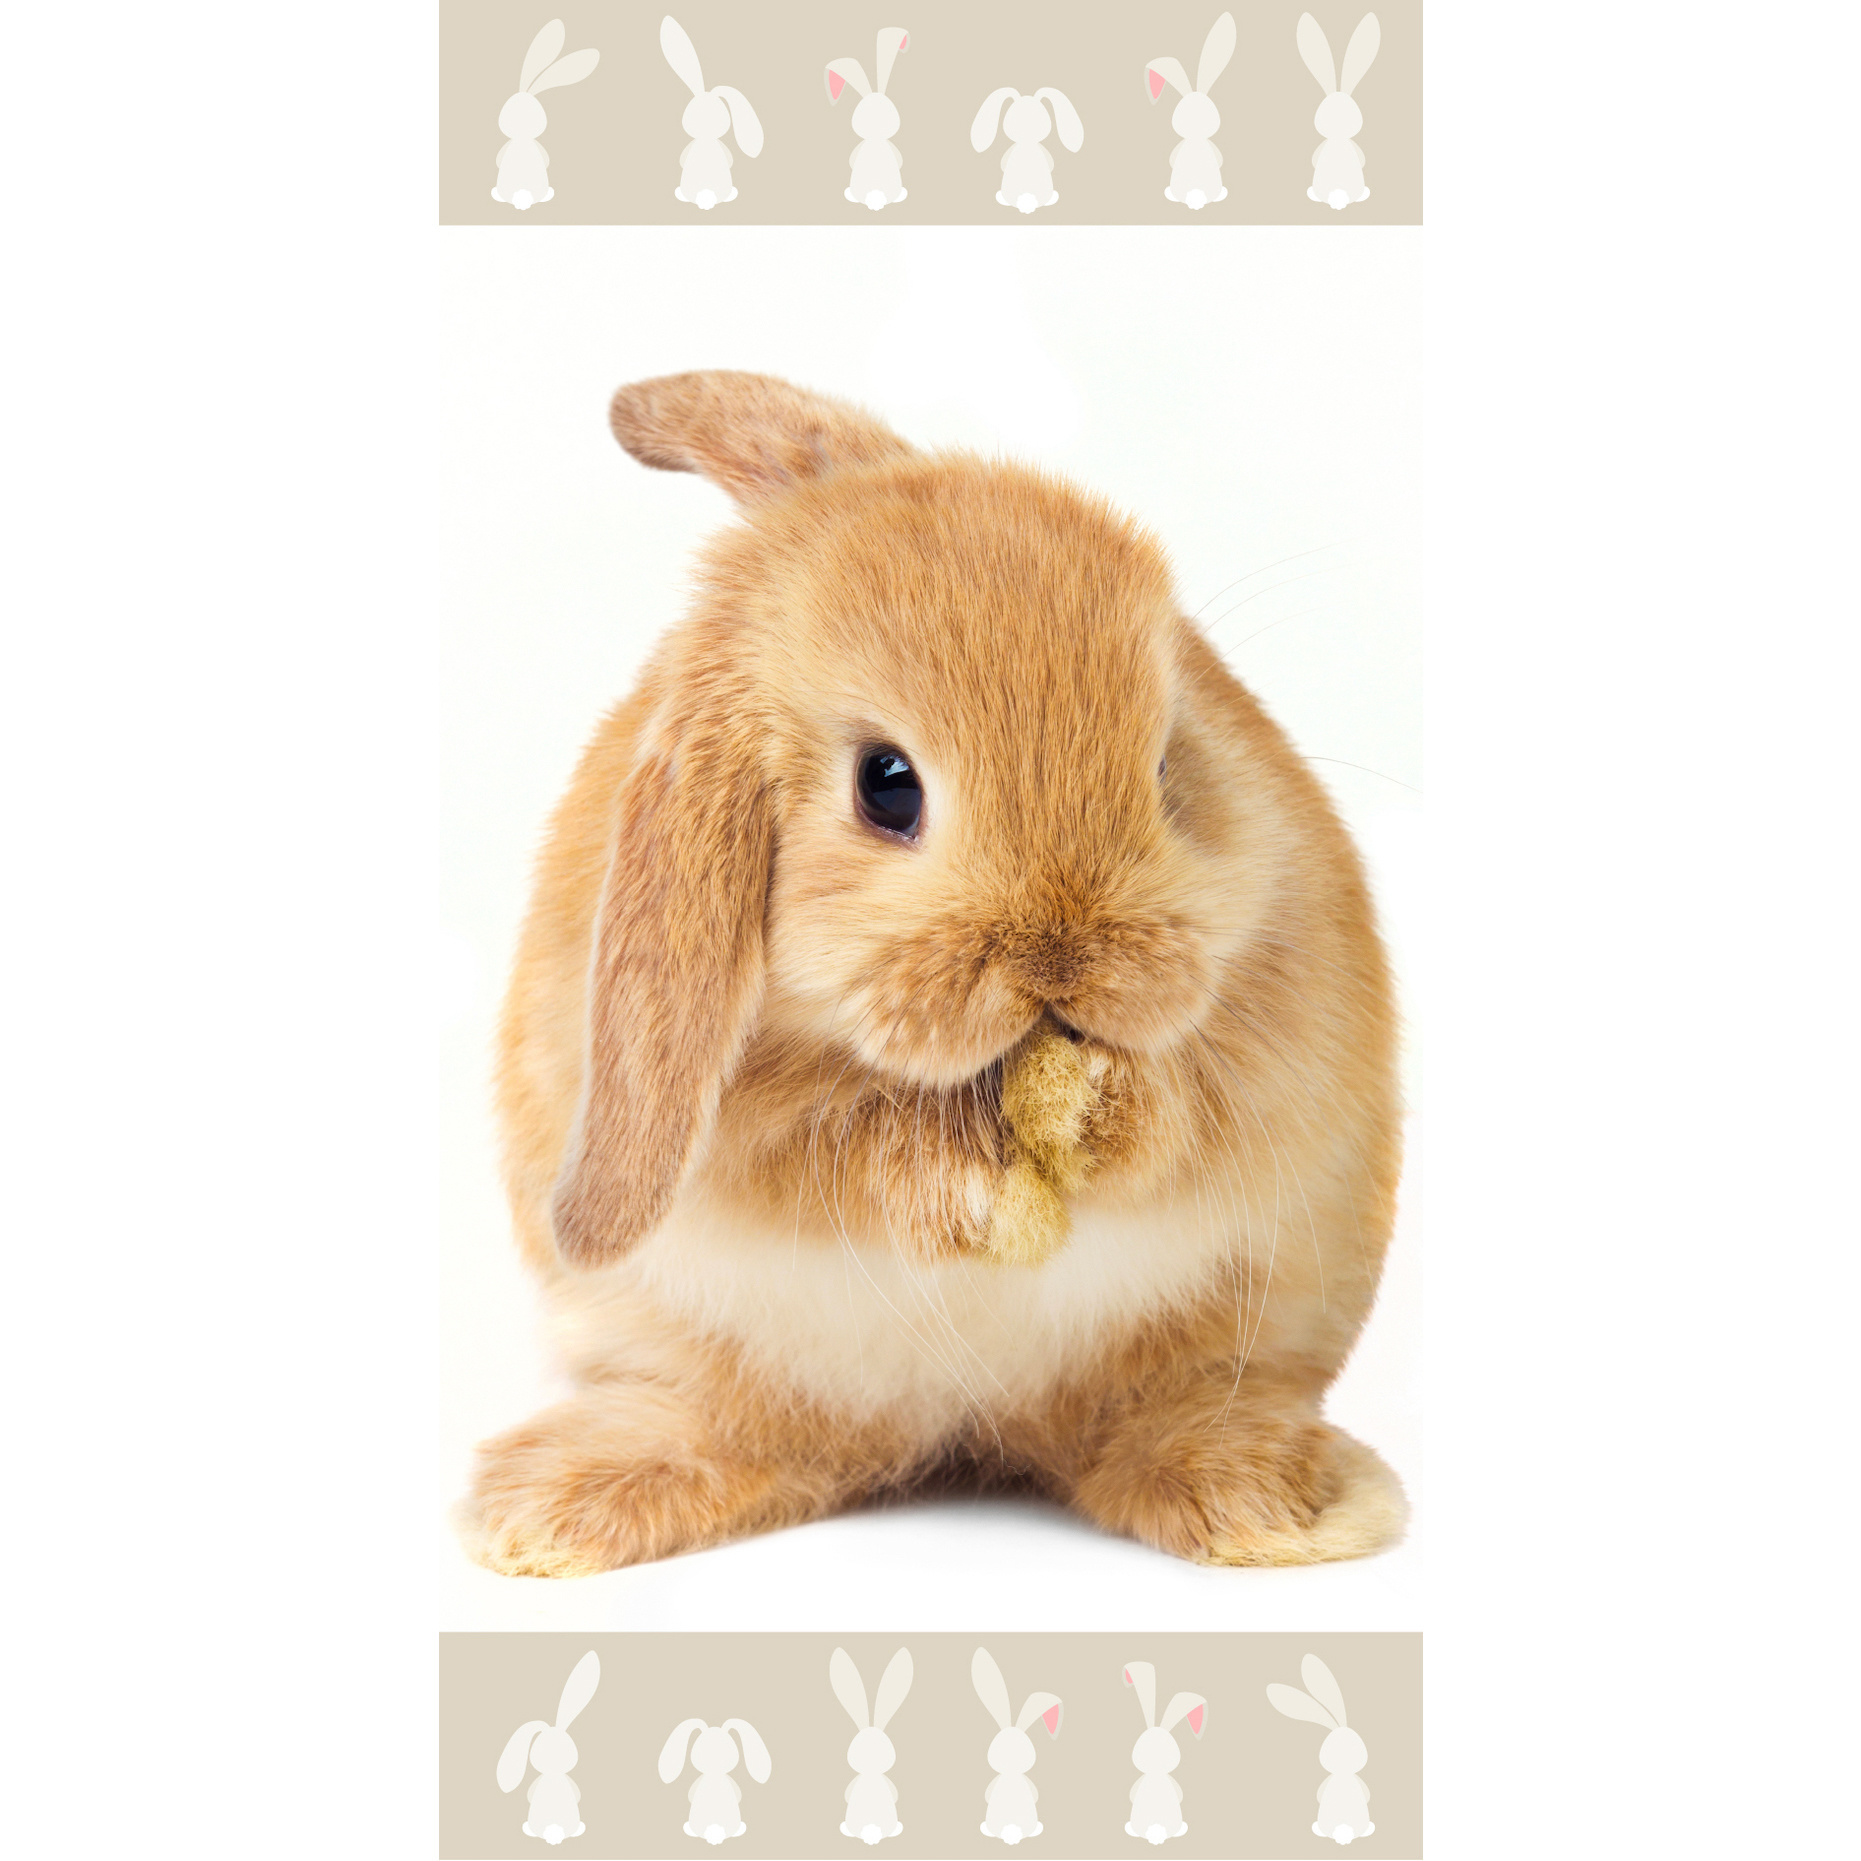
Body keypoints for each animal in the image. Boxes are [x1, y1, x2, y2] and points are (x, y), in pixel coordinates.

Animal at [457, 369, 1409, 1582]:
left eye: (1166, 765)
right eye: (886, 785)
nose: (1067, 958)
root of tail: (972, 1431)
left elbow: (1183, 1113)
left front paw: (1095, 1114)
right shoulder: (761, 1136)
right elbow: (844, 1146)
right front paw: (983, 1188)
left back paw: (1277, 1502)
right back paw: (553, 1512)